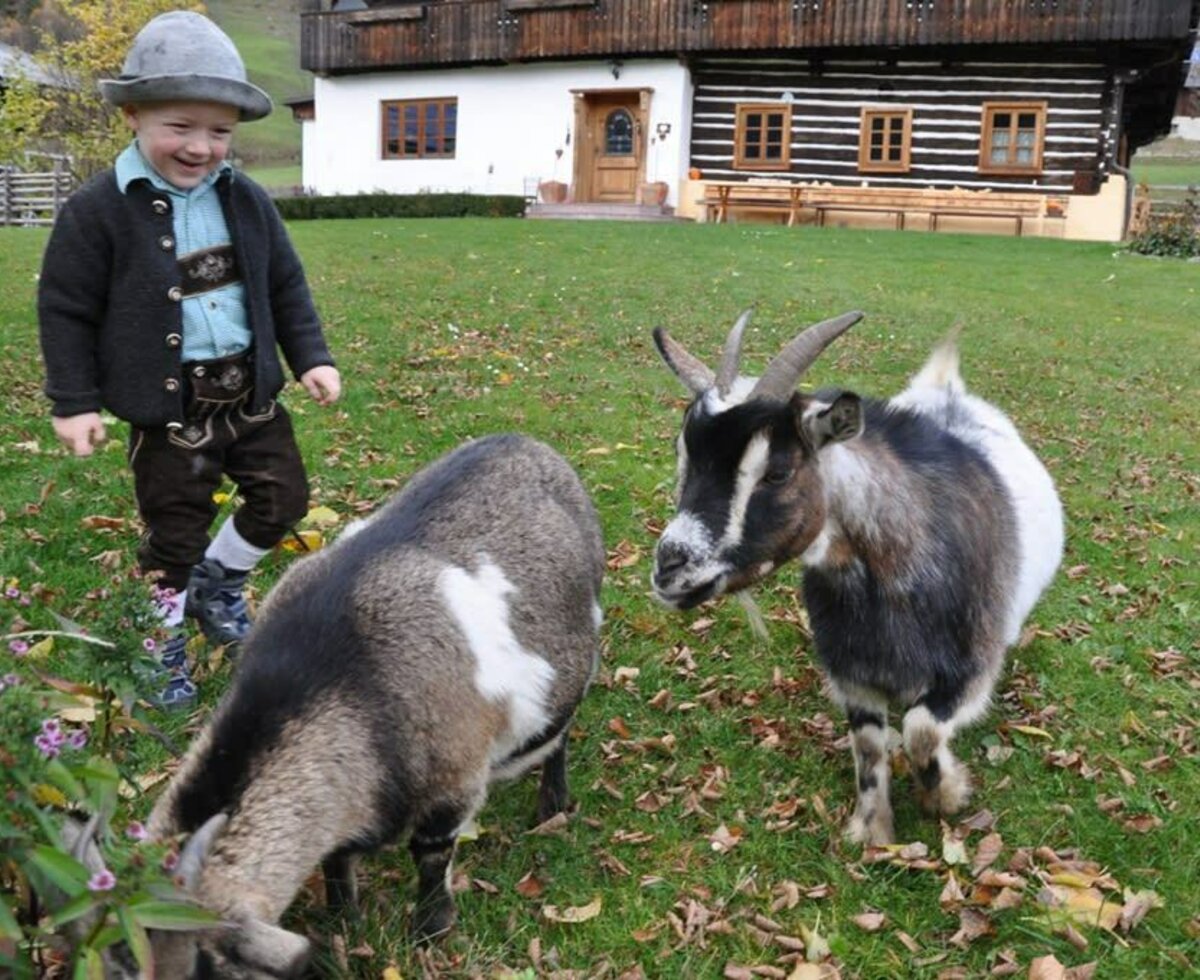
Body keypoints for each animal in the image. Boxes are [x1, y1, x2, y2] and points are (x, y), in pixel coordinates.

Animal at [130, 436, 604, 978]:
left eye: (200, 969)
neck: (335, 672)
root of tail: (526, 442)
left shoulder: (456, 778)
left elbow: (431, 854)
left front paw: (431, 929)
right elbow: (337, 859)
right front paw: (345, 918)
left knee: (560, 731)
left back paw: (553, 801)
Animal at [652, 311, 1065, 839]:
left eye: (777, 473)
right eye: (681, 452)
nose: (670, 567)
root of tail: (946, 387)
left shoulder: (968, 672)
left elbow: (921, 729)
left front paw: (947, 796)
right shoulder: (852, 674)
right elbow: (868, 749)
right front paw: (873, 832)